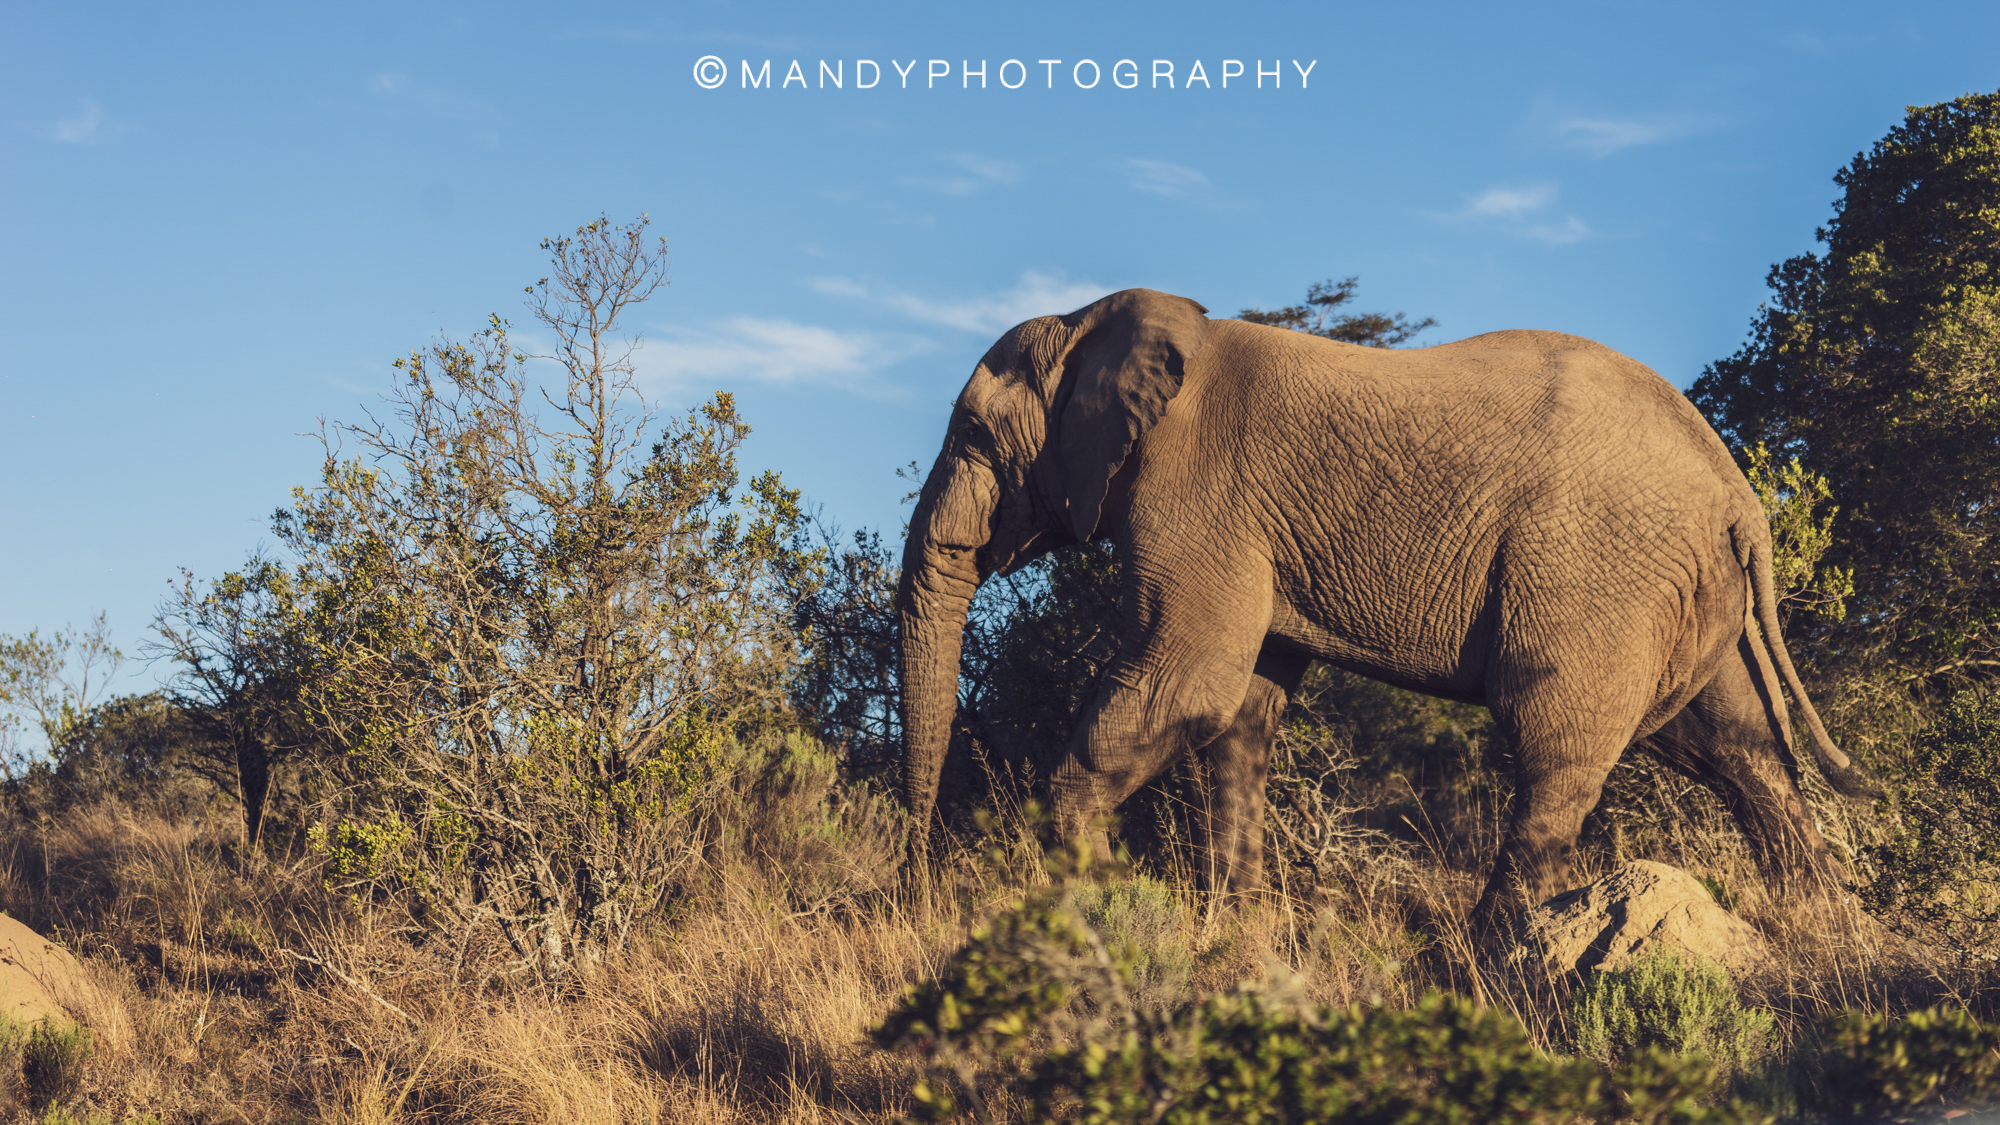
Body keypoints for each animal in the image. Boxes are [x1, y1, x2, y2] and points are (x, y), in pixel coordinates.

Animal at [896, 284, 1872, 924]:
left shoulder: (1197, 494)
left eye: (974, 435)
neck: (1097, 326)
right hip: (1688, 590)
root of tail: (1740, 492)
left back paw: (1492, 956)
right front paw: (1240, 932)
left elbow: (1193, 681)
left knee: (1554, 749)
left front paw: (1097, 904)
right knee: (1738, 750)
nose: (913, 886)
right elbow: (1241, 712)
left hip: (1598, 570)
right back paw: (1826, 931)